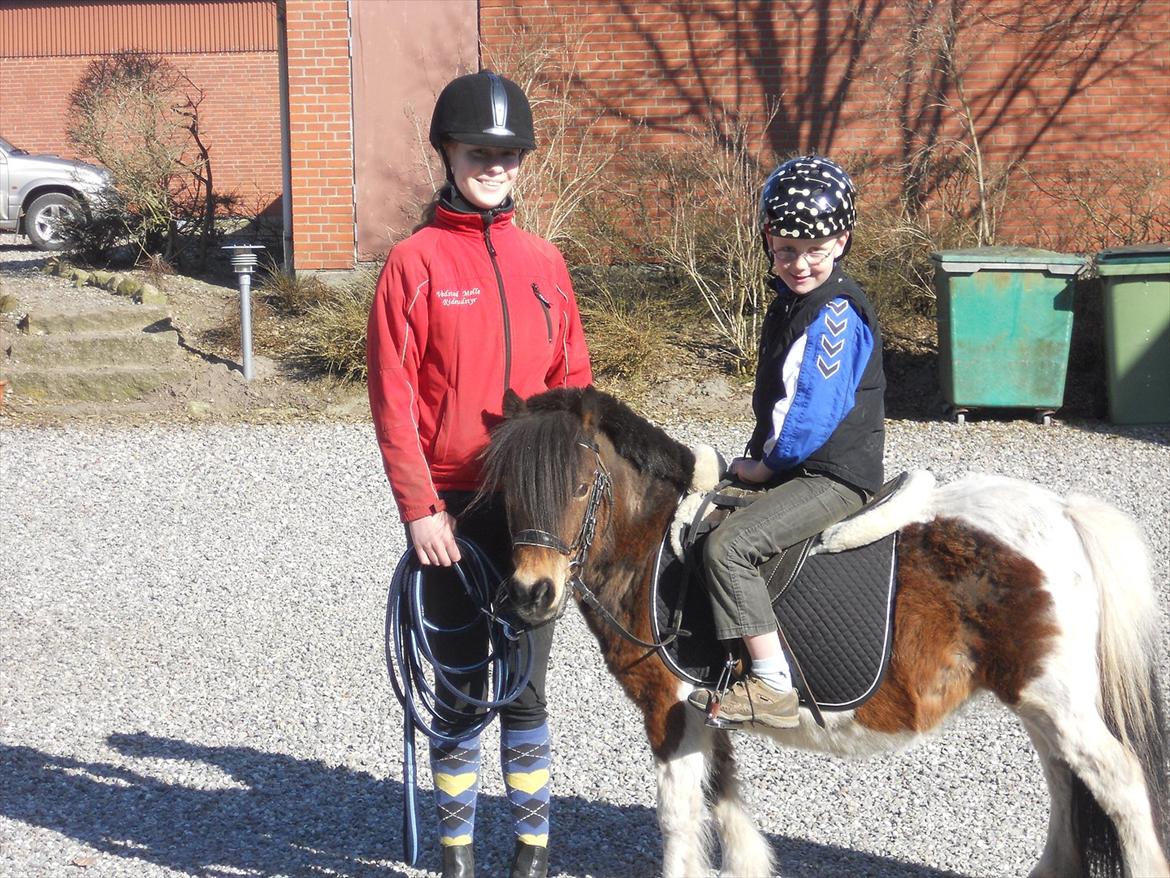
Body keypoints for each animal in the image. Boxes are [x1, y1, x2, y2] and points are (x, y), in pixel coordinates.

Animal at [479, 391, 1165, 878]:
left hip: (1057, 700)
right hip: (1038, 700)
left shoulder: (668, 707)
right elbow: (725, 799)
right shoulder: (709, 706)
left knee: (1118, 782)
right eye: (509, 490)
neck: (651, 548)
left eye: (577, 485)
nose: (532, 594)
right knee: (1065, 779)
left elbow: (679, 817)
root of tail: (1063, 511)